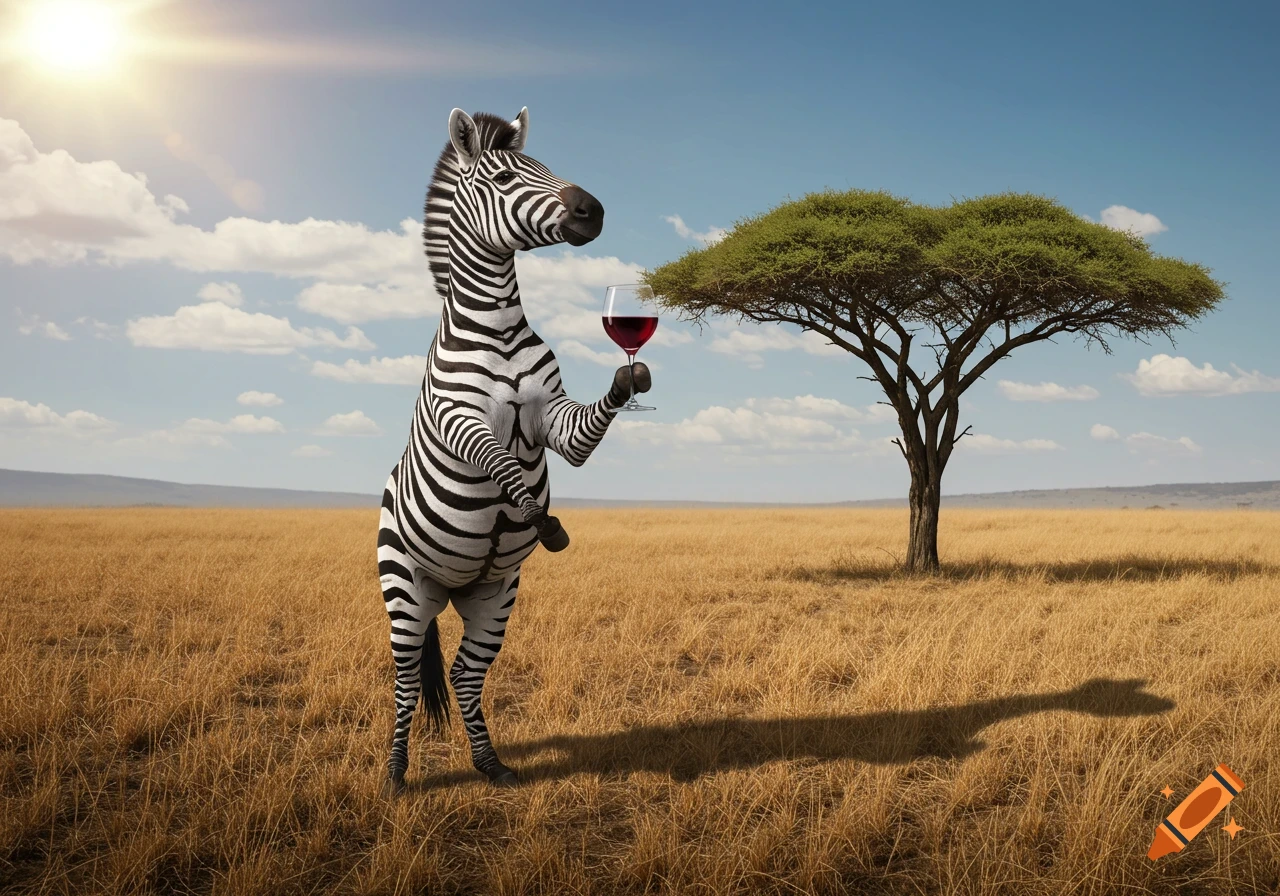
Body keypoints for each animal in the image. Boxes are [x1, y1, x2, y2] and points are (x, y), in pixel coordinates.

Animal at [377, 107, 651, 793]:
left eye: (546, 165)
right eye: (504, 178)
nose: (594, 210)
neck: (498, 327)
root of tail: (445, 591)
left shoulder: (554, 418)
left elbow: (585, 427)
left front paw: (632, 374)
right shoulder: (456, 418)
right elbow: (499, 461)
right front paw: (540, 518)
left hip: (495, 594)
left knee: (464, 674)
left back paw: (490, 765)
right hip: (404, 588)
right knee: (403, 681)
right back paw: (394, 776)